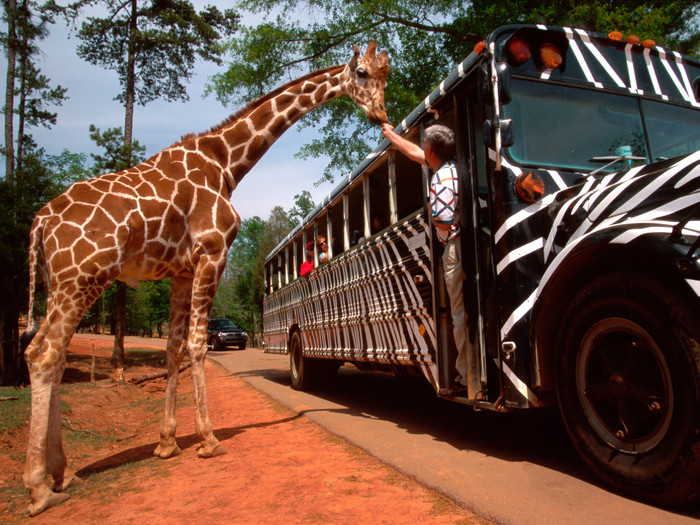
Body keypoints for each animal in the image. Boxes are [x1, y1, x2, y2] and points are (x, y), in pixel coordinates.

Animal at [21, 41, 388, 516]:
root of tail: (40, 223)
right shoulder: (213, 252)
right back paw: (38, 487)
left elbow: (173, 347)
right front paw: (209, 439)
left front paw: (166, 443)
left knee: (46, 353)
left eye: (386, 74)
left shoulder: (180, 270)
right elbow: (198, 343)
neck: (227, 162)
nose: (381, 112)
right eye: (361, 73)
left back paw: (63, 472)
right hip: (82, 278)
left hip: (58, 284)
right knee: (45, 355)